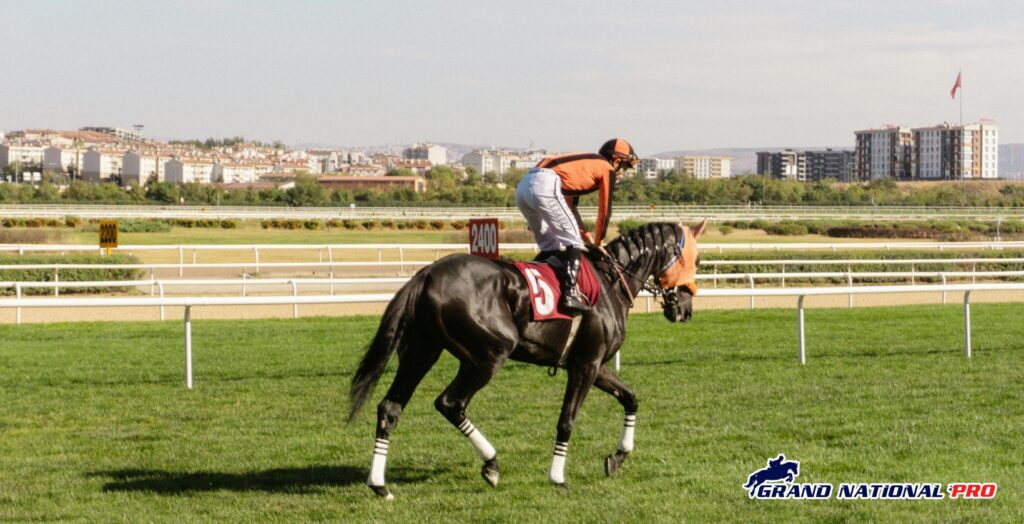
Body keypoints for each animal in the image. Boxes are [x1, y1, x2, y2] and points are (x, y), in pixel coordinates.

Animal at [348, 219, 700, 497]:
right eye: (695, 259)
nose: (685, 308)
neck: (611, 283)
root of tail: (427, 274)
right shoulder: (585, 366)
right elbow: (567, 419)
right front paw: (557, 477)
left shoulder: (594, 366)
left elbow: (630, 398)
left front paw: (618, 456)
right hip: (489, 354)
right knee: (450, 403)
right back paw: (491, 464)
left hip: (422, 351)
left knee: (390, 407)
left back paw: (379, 484)